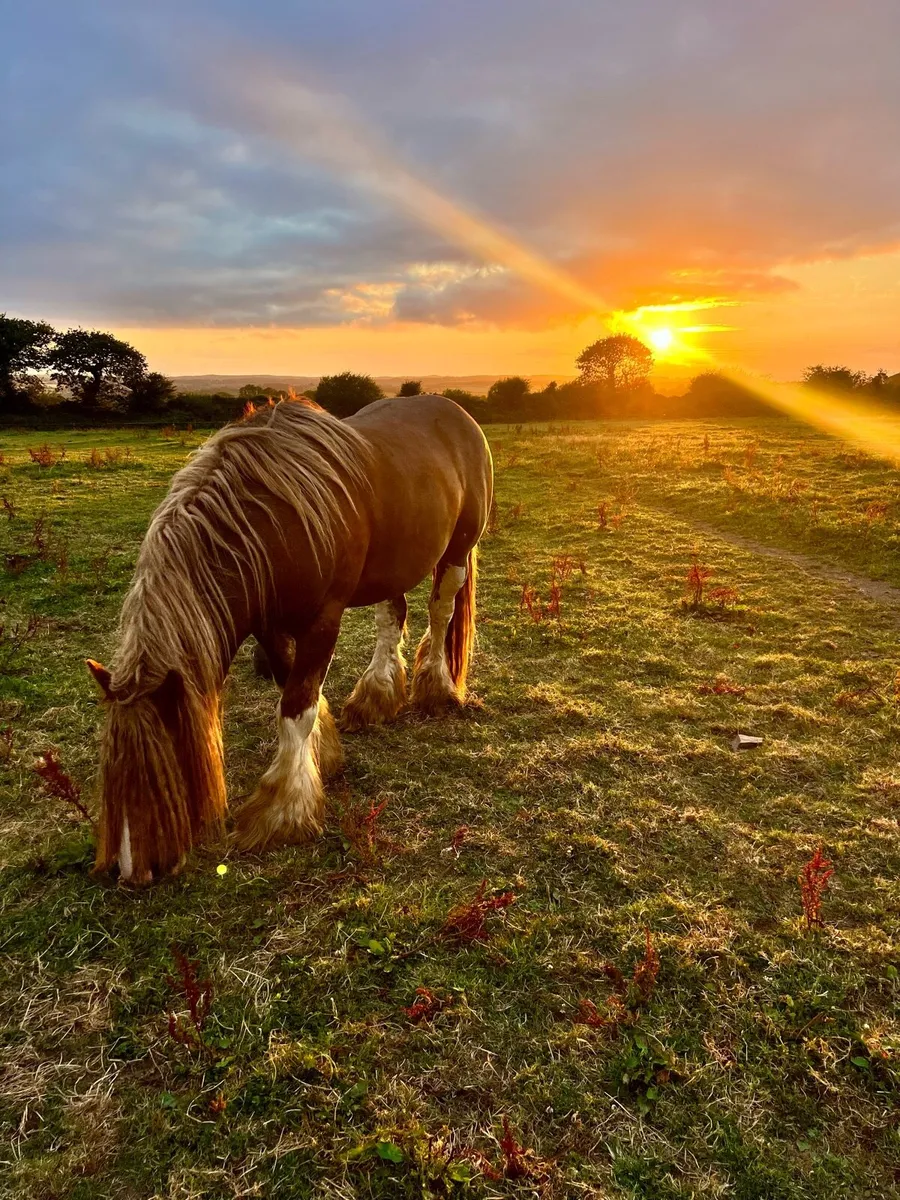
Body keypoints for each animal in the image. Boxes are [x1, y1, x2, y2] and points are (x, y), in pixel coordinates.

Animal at [86, 394, 493, 885]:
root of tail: (456, 413)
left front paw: (283, 811)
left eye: (161, 774)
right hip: (391, 565)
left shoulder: (322, 623)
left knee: (440, 612)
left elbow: (296, 707)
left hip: (456, 552)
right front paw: (324, 753)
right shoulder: (269, 625)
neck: (269, 524)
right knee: (392, 617)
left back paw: (435, 688)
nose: (132, 873)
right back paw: (375, 698)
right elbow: (291, 691)